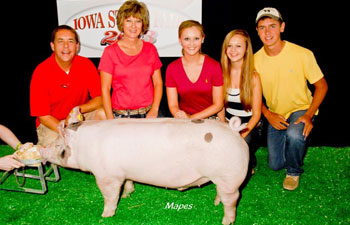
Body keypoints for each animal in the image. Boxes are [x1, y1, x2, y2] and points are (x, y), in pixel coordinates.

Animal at [39, 115, 249, 224]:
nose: (41, 149)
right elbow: (128, 183)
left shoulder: (107, 175)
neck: (85, 145)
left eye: (58, 146)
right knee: (221, 194)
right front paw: (127, 195)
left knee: (233, 200)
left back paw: (226, 221)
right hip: (222, 178)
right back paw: (215, 203)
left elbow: (110, 196)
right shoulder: (124, 172)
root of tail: (234, 131)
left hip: (230, 176)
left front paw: (105, 215)